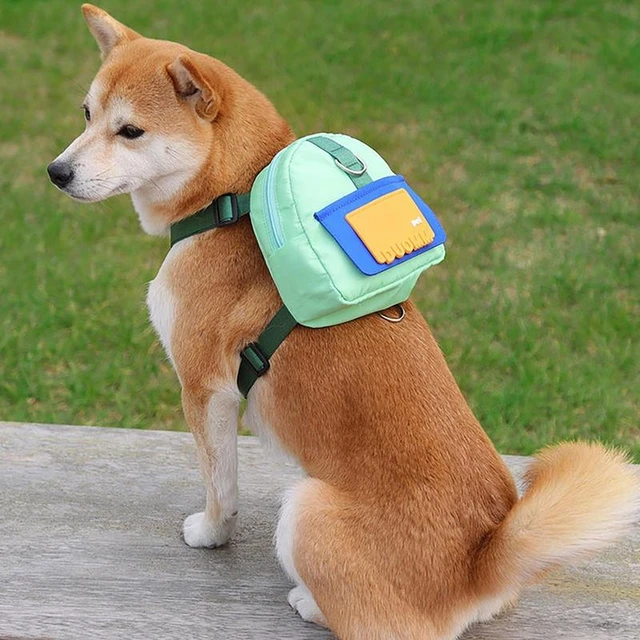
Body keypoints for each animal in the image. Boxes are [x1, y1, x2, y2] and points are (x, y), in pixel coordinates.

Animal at [46, 6, 640, 640]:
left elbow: (221, 486)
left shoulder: (205, 389)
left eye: (130, 131)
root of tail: (480, 565)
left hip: (306, 508)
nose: (57, 171)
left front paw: (211, 533)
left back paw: (309, 603)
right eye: (87, 114)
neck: (231, 201)